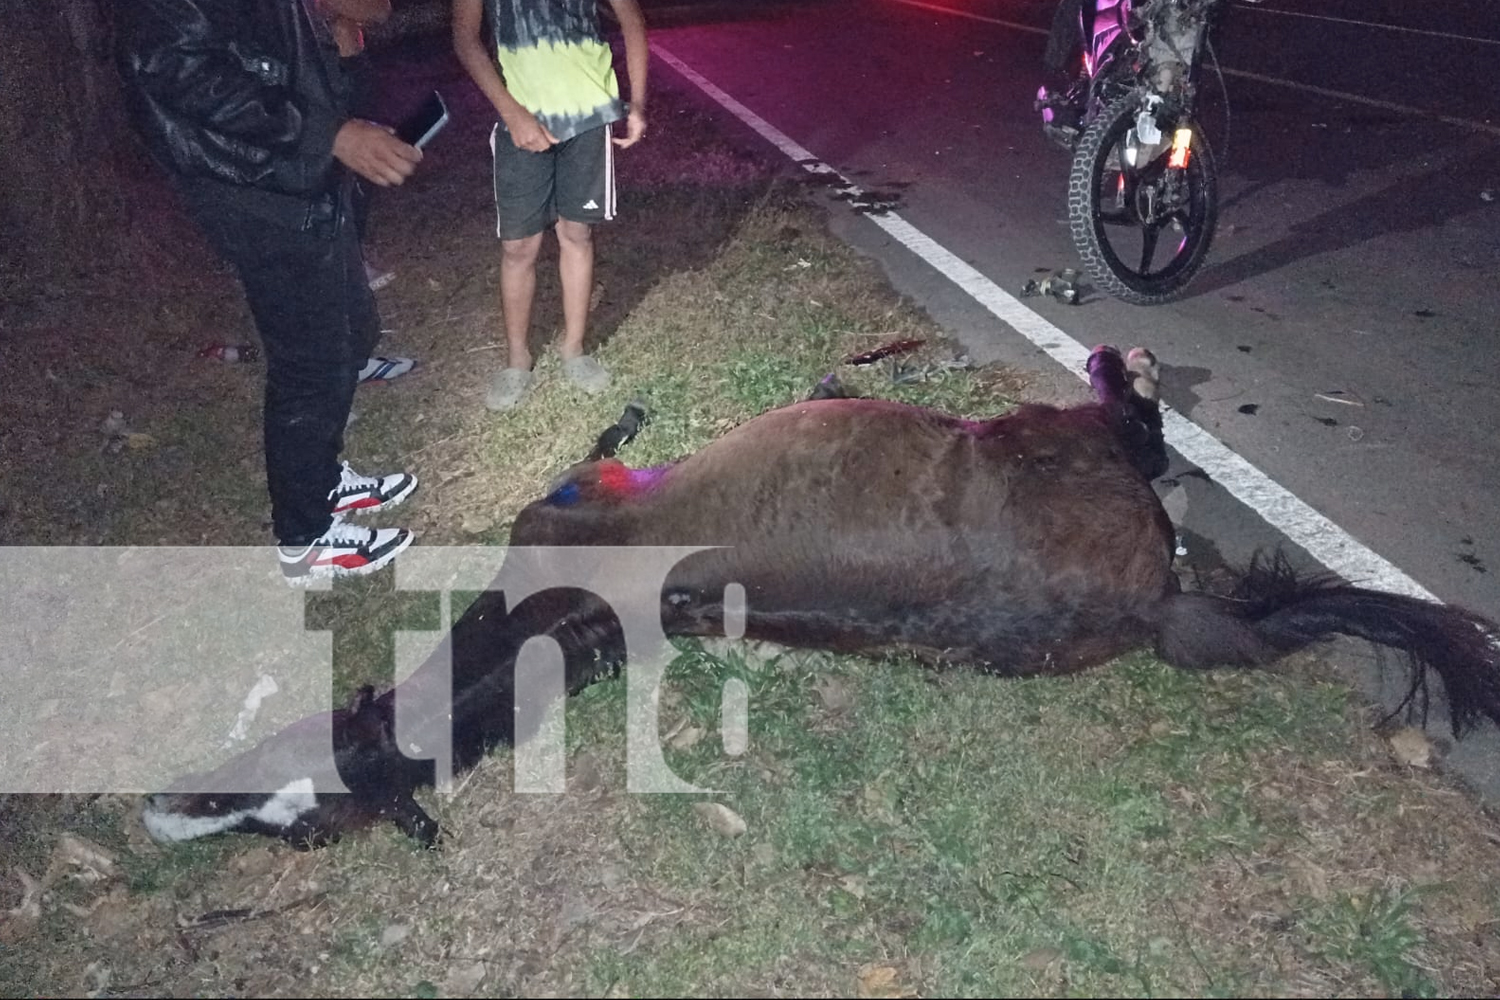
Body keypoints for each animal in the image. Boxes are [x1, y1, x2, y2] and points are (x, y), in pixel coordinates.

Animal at [141, 346, 1500, 851]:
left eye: (278, 811)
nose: (159, 812)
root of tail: (1155, 608)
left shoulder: (558, 530)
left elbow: (605, 436)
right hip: (1050, 437)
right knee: (1132, 426)